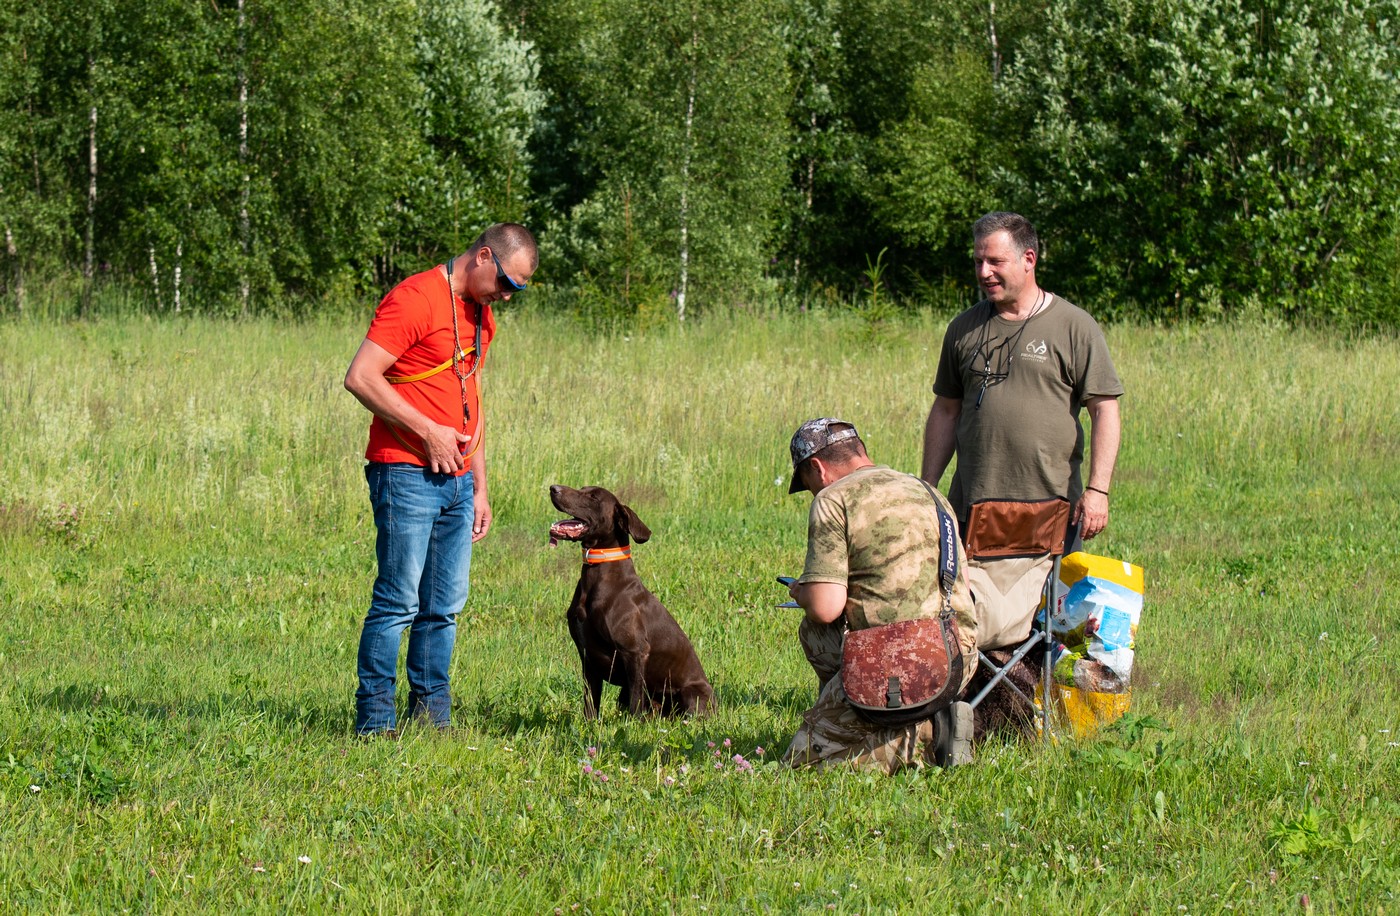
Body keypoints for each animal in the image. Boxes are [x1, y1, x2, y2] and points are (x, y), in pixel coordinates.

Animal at [546, 484, 716, 722]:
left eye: (593, 497)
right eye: (581, 488)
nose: (553, 488)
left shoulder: (634, 652)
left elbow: (636, 700)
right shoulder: (588, 658)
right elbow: (590, 703)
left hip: (692, 694)